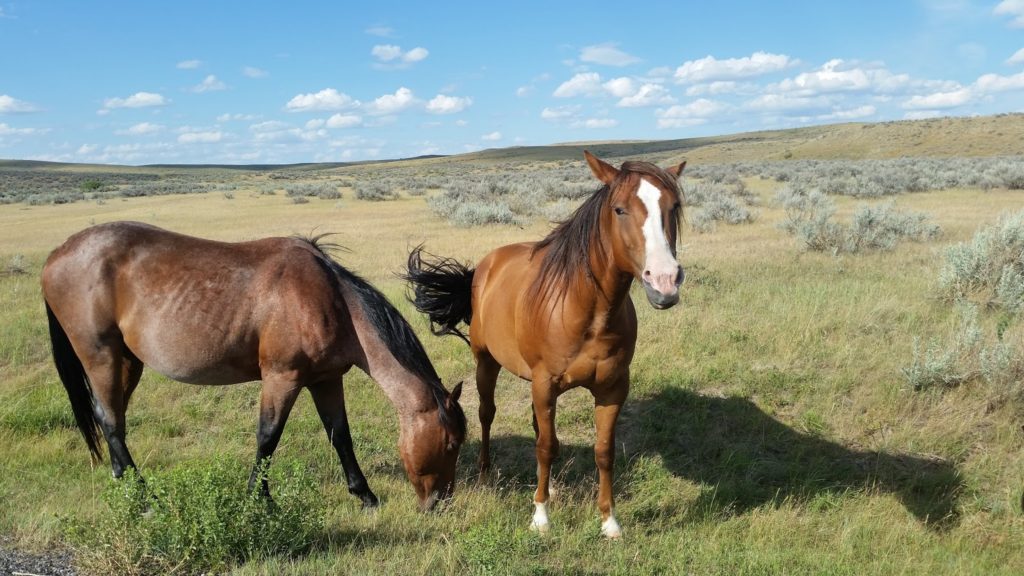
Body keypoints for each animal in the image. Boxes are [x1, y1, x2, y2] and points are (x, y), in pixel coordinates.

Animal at [41, 222, 466, 508]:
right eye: (450, 444)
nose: (439, 503)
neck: (329, 300)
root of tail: (57, 254)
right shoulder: (282, 377)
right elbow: (268, 437)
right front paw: (259, 499)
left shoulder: (326, 380)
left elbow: (340, 435)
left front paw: (365, 496)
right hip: (102, 357)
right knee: (111, 421)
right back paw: (144, 497)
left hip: (128, 362)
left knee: (110, 418)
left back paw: (123, 480)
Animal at [403, 148, 684, 532]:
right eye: (619, 209)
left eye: (674, 206)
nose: (665, 281)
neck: (587, 312)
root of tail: (486, 266)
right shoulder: (545, 383)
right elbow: (546, 447)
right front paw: (540, 516)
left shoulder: (612, 389)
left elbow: (603, 450)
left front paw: (609, 521)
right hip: (486, 363)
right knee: (487, 414)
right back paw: (486, 473)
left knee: (539, 428)